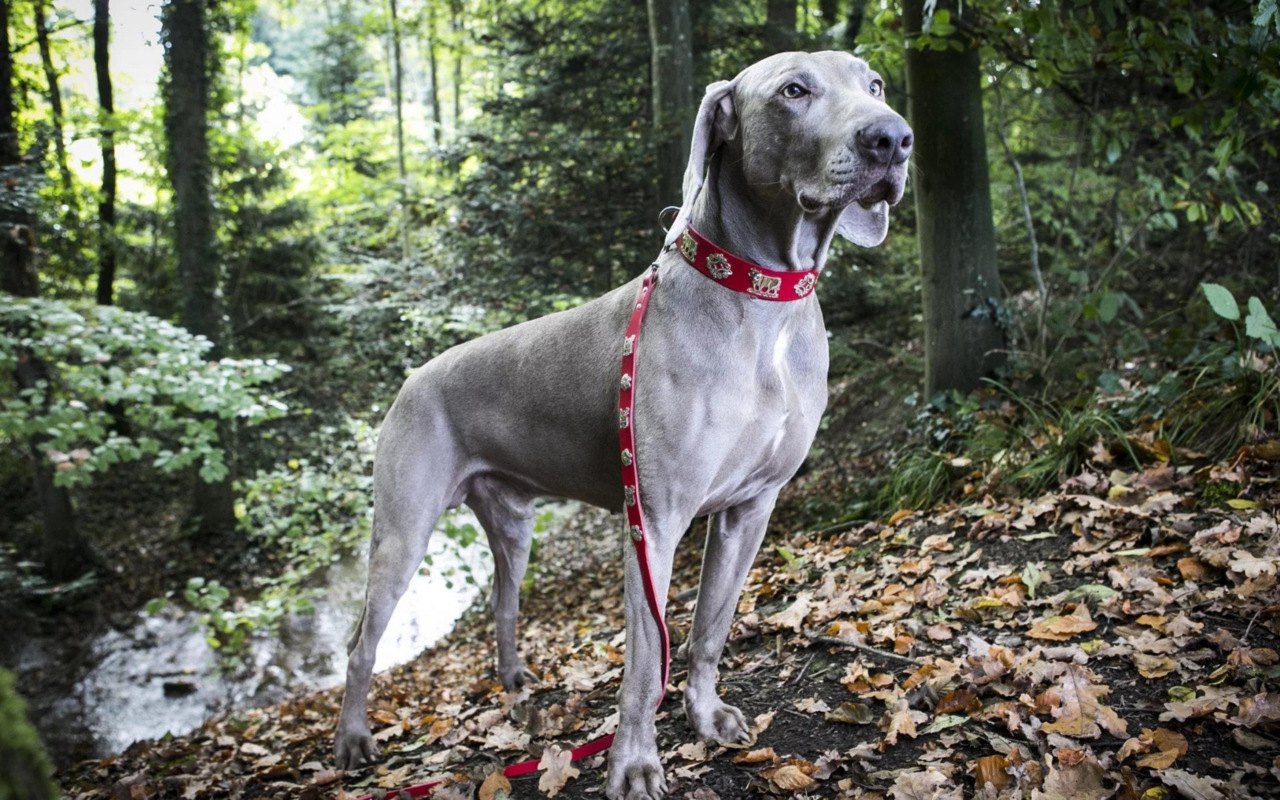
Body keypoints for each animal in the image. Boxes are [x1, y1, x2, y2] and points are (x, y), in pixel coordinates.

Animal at [332, 49, 911, 798]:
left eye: (874, 84)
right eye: (793, 91)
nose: (893, 139)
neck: (763, 306)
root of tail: (411, 377)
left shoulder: (752, 508)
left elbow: (709, 629)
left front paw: (705, 716)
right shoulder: (654, 523)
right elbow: (642, 666)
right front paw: (634, 763)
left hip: (512, 524)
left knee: (502, 601)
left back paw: (515, 683)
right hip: (402, 532)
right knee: (360, 644)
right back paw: (352, 741)